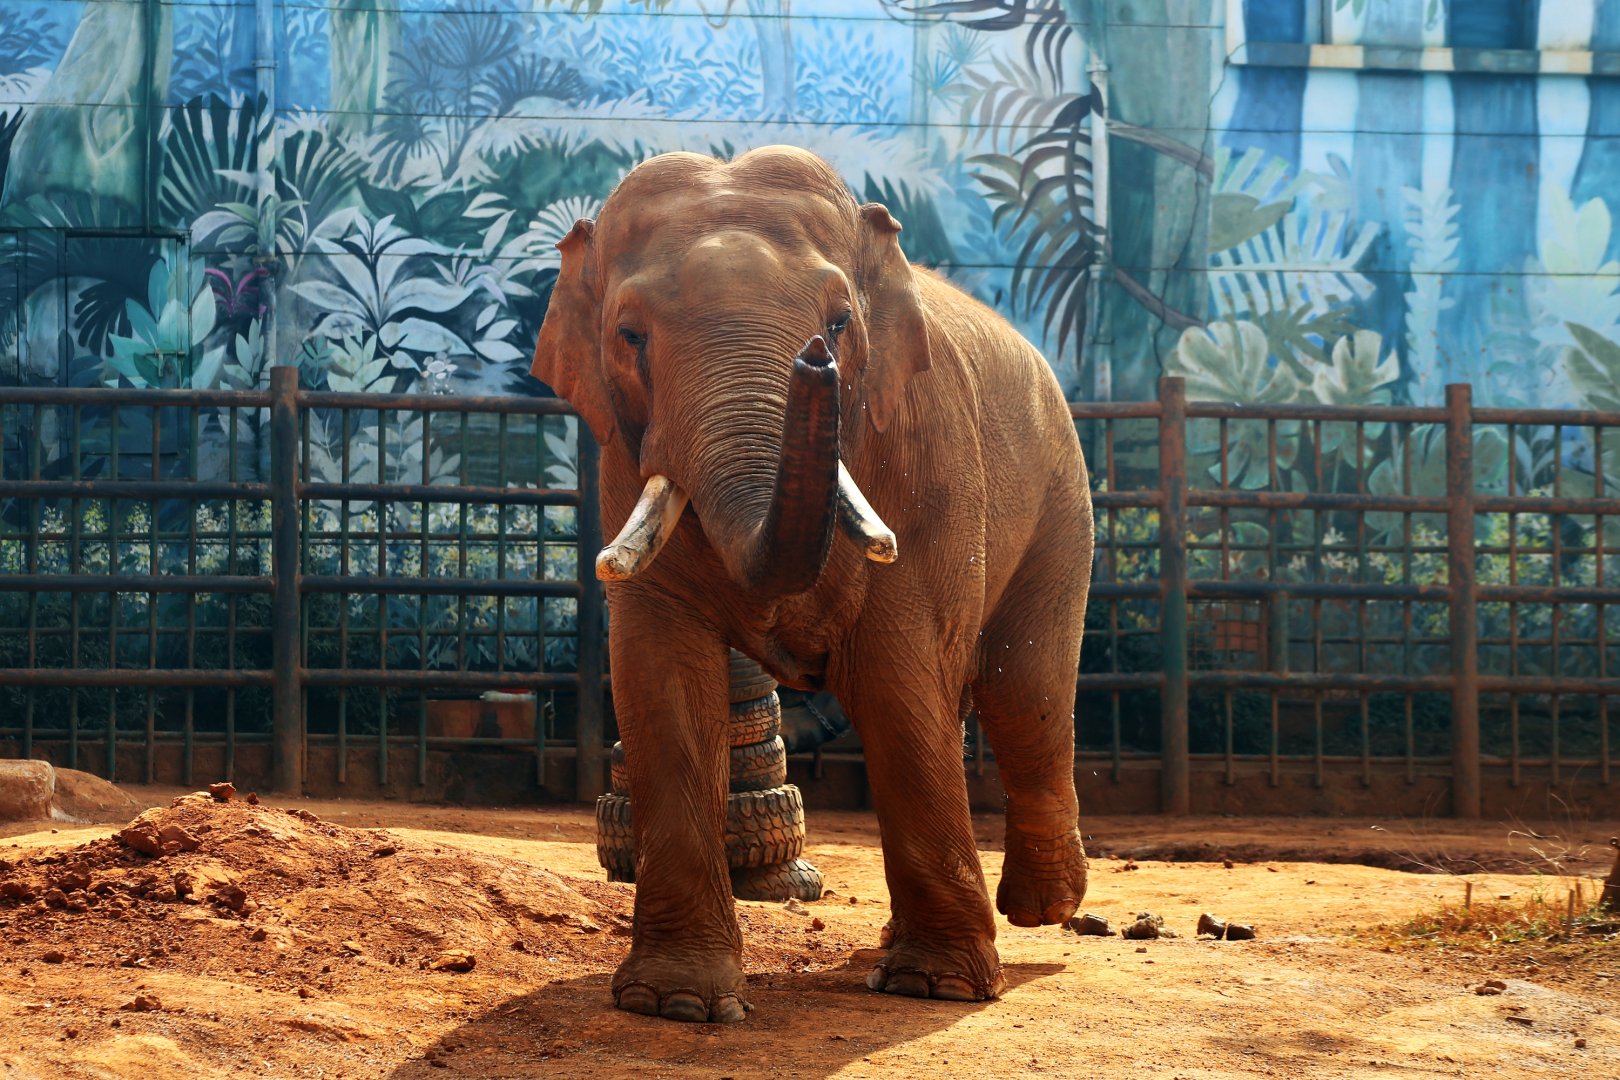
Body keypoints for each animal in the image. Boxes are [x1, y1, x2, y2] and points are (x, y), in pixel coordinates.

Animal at [530, 145, 1093, 1023]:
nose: (813, 361)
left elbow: (900, 682)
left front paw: (934, 989)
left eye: (838, 325)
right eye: (628, 336)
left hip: (1061, 499)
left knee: (1023, 691)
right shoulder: (622, 461)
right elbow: (663, 680)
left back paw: (1044, 910)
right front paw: (675, 1004)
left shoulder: (925, 455)